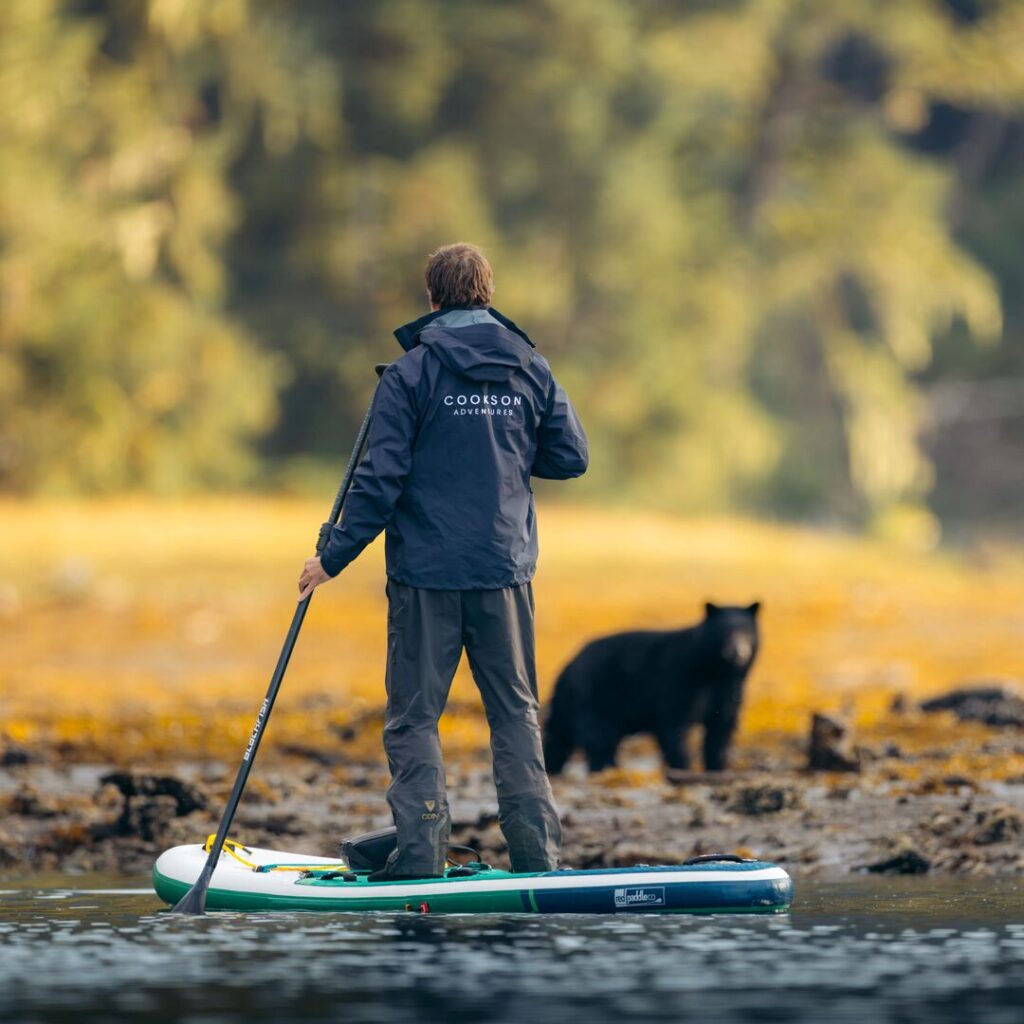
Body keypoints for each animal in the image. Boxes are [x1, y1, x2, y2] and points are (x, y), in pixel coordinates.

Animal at [544, 598, 761, 774]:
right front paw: (683, 766)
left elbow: (721, 727)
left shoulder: (729, 690)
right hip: (597, 696)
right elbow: (675, 727)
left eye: (746, 632)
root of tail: (567, 667)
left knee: (561, 736)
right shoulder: (678, 681)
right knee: (598, 738)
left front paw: (716, 768)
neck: (714, 670)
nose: (738, 652)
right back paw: (603, 768)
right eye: (724, 631)